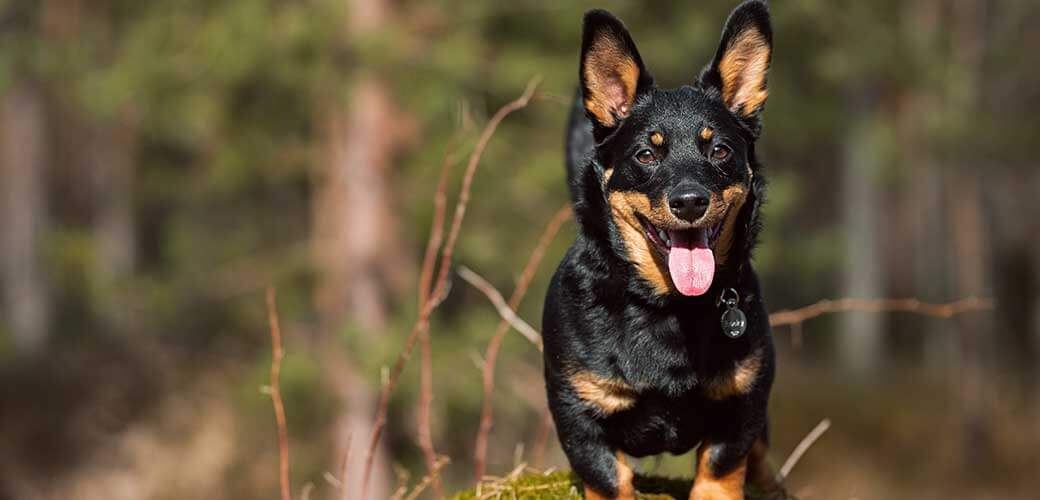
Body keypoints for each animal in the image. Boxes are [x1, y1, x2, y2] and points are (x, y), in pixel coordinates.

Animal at [544, 1, 782, 496]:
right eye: (646, 154)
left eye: (720, 150)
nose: (689, 202)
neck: (669, 307)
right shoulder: (578, 416)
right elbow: (609, 477)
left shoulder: (743, 402)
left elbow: (722, 467)